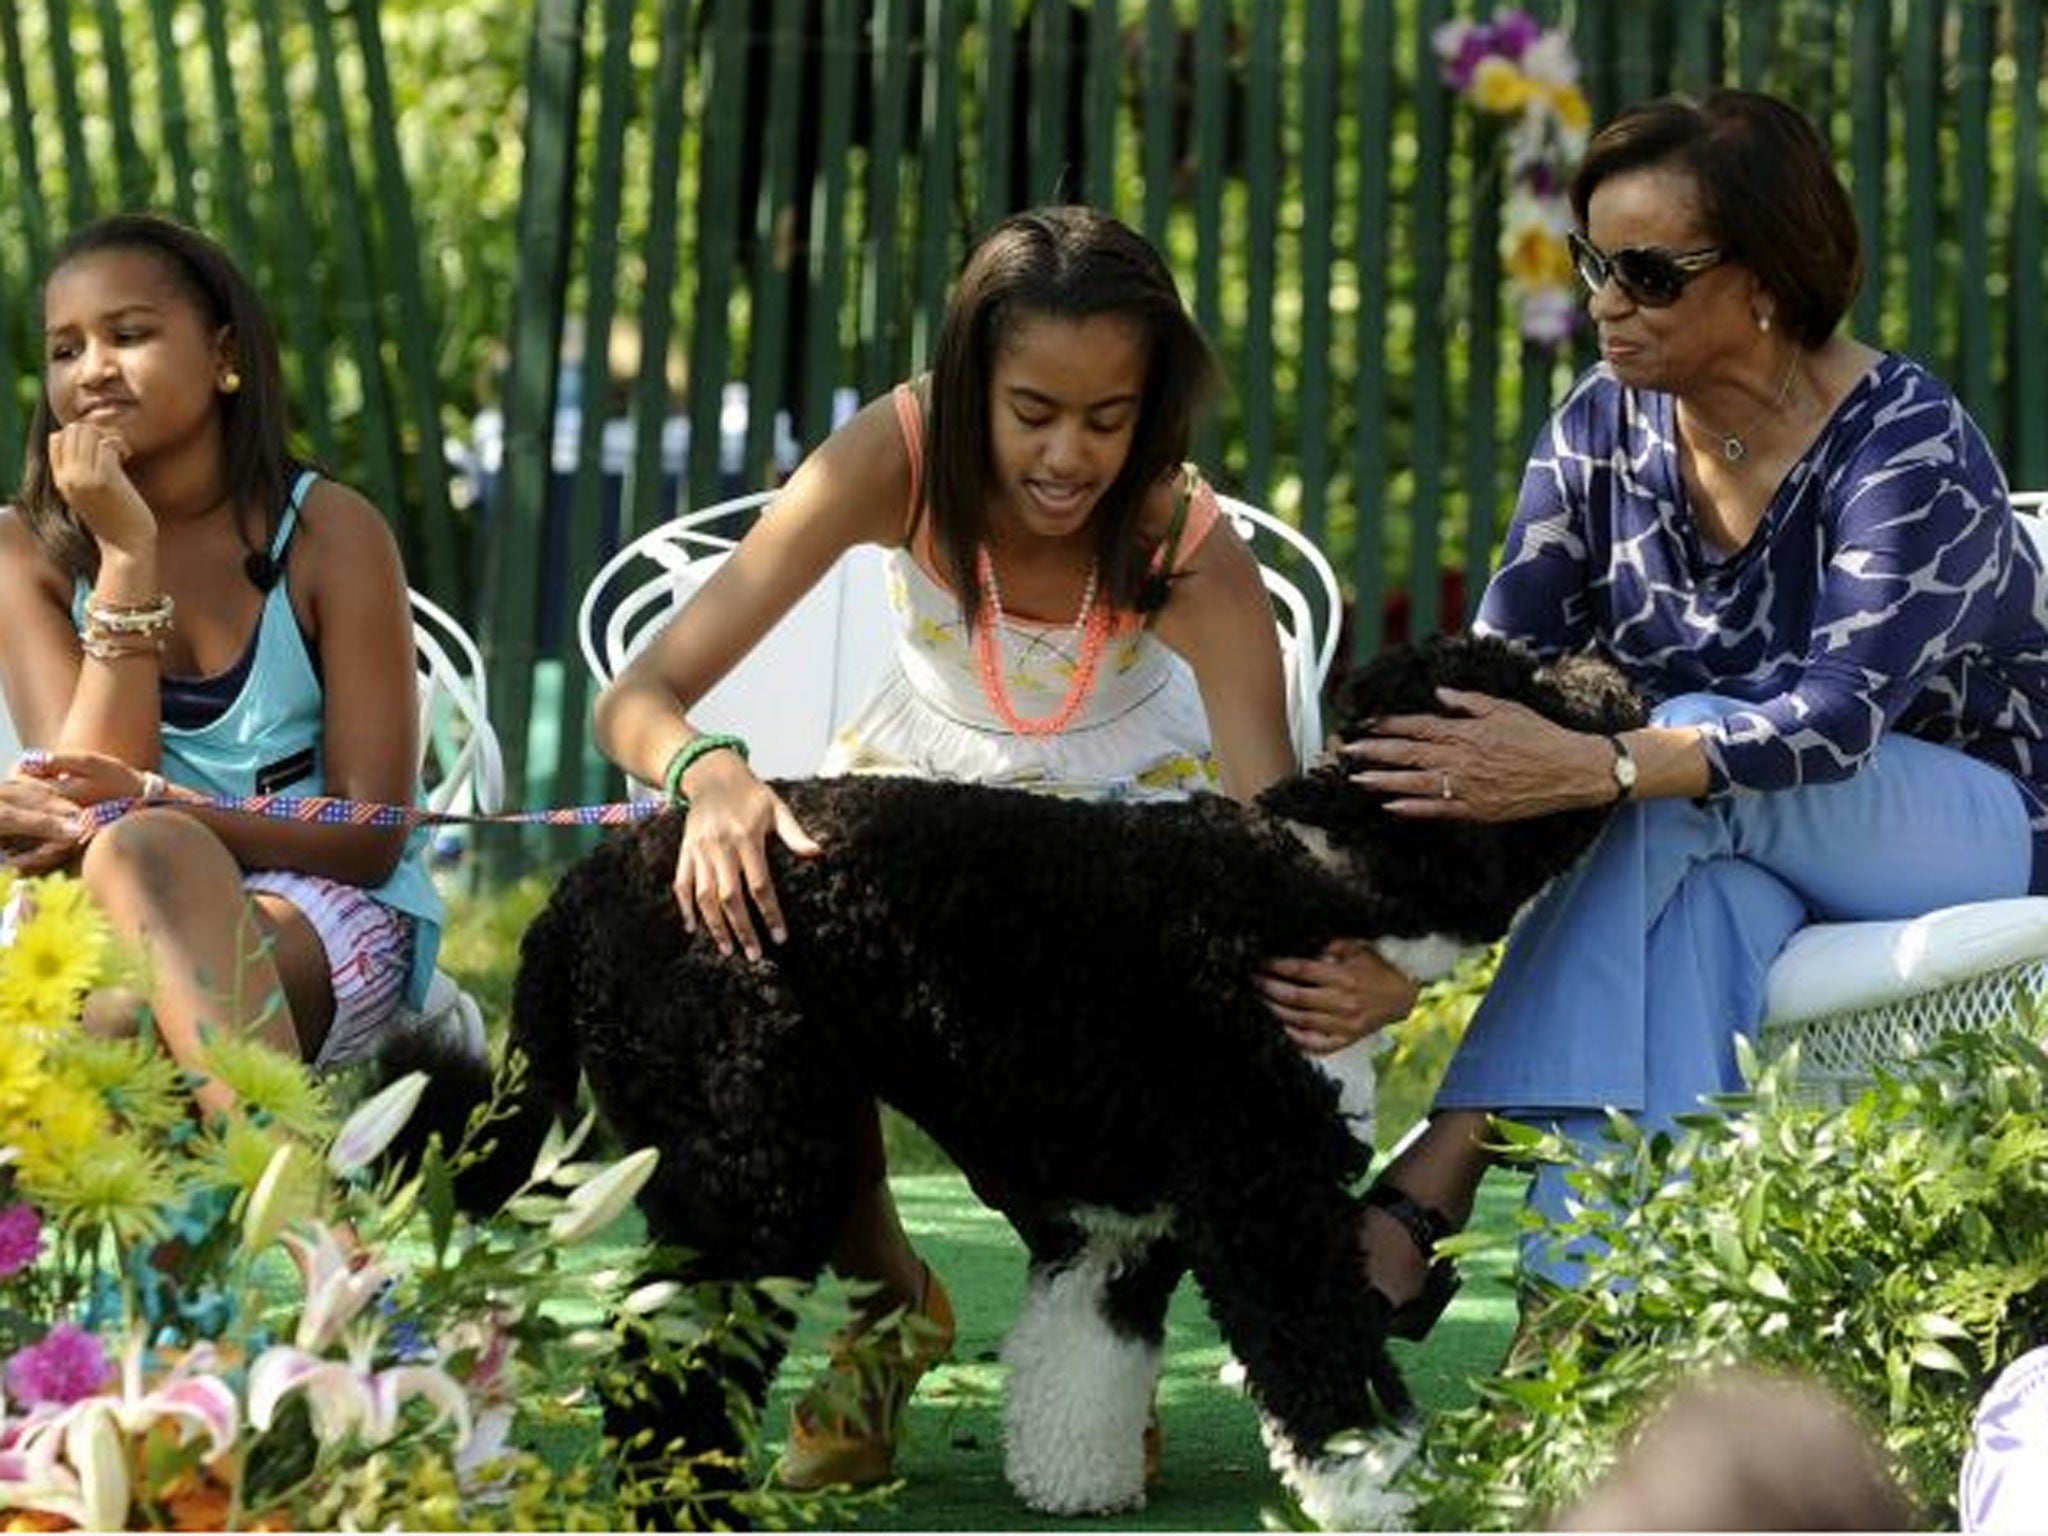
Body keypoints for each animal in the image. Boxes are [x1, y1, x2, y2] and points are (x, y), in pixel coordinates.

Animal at [456, 638, 1638, 1531]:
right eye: (1535, 686)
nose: (1617, 669)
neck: (1314, 874)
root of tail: (581, 888)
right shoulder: (1268, 1207)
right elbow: (1339, 1386)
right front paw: (1394, 1498)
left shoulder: (1122, 1224)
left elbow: (1086, 1356)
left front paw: (1075, 1483)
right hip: (747, 1164)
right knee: (669, 1359)